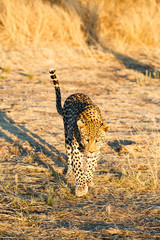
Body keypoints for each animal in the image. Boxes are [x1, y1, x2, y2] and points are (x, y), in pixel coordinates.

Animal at [49, 69, 109, 197]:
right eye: (86, 140)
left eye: (97, 141)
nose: (90, 151)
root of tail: (75, 93)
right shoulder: (76, 148)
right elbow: (77, 166)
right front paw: (81, 187)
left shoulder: (97, 151)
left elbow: (91, 166)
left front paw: (88, 180)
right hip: (67, 138)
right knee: (69, 159)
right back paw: (69, 173)